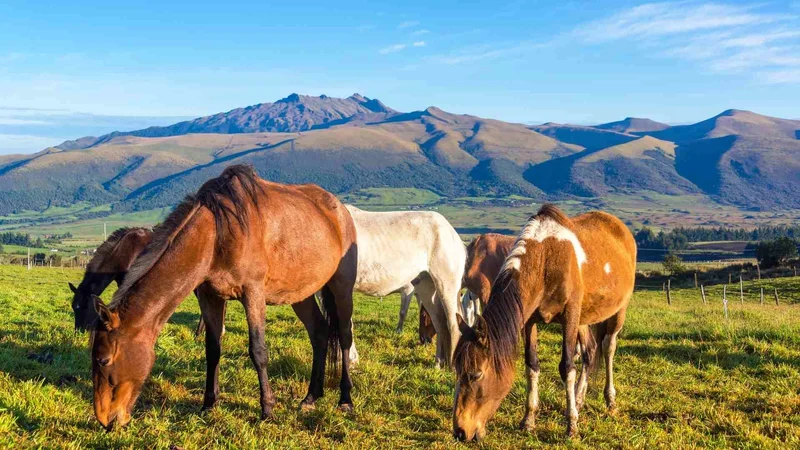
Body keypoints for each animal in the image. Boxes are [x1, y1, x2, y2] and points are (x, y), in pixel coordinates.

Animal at [88, 165, 360, 428]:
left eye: (103, 360)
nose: (106, 420)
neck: (217, 234)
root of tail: (340, 210)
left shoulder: (253, 294)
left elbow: (258, 351)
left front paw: (267, 410)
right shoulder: (210, 297)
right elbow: (213, 350)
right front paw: (209, 404)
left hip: (341, 288)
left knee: (344, 336)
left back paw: (345, 399)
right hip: (299, 295)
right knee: (320, 333)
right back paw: (311, 397)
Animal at [346, 206, 466, 368]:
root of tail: (452, 232)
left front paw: (351, 361)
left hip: (447, 285)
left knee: (453, 324)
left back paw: (452, 367)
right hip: (427, 290)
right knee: (440, 323)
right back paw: (437, 364)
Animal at [454, 206, 636, 442]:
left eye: (476, 374)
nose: (459, 431)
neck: (545, 260)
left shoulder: (569, 318)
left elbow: (567, 367)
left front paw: (571, 426)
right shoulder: (529, 321)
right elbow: (532, 365)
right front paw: (528, 421)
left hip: (617, 312)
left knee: (608, 348)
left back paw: (609, 400)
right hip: (583, 320)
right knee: (590, 351)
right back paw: (579, 399)